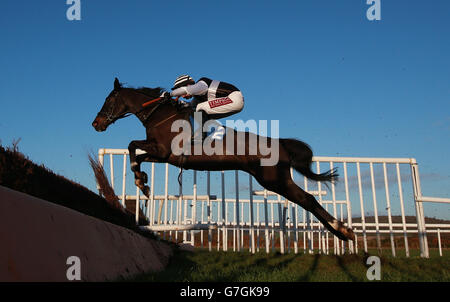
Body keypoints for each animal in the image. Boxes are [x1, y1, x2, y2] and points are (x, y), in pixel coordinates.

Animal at [92, 77, 356, 241]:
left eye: (108, 100)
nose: (96, 123)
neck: (159, 115)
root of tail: (280, 143)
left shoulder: (164, 150)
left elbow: (132, 145)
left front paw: (141, 180)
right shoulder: (165, 156)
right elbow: (137, 153)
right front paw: (142, 181)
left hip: (274, 180)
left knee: (307, 200)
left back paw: (343, 231)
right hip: (276, 180)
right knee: (308, 199)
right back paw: (342, 232)